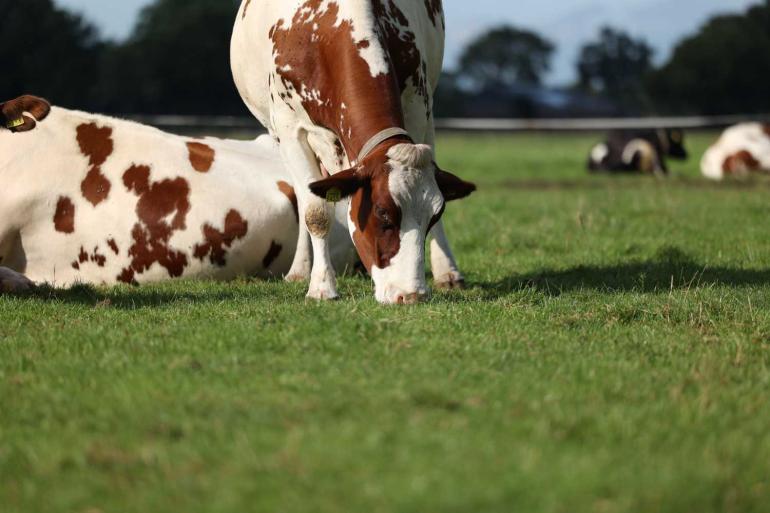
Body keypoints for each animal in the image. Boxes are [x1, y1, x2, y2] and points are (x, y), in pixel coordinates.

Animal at [231, 0, 476, 304]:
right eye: (382, 212)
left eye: (436, 214)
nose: (411, 295)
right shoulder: (290, 129)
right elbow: (315, 212)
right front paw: (322, 286)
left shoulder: (417, 106)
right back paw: (300, 269)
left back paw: (448, 271)